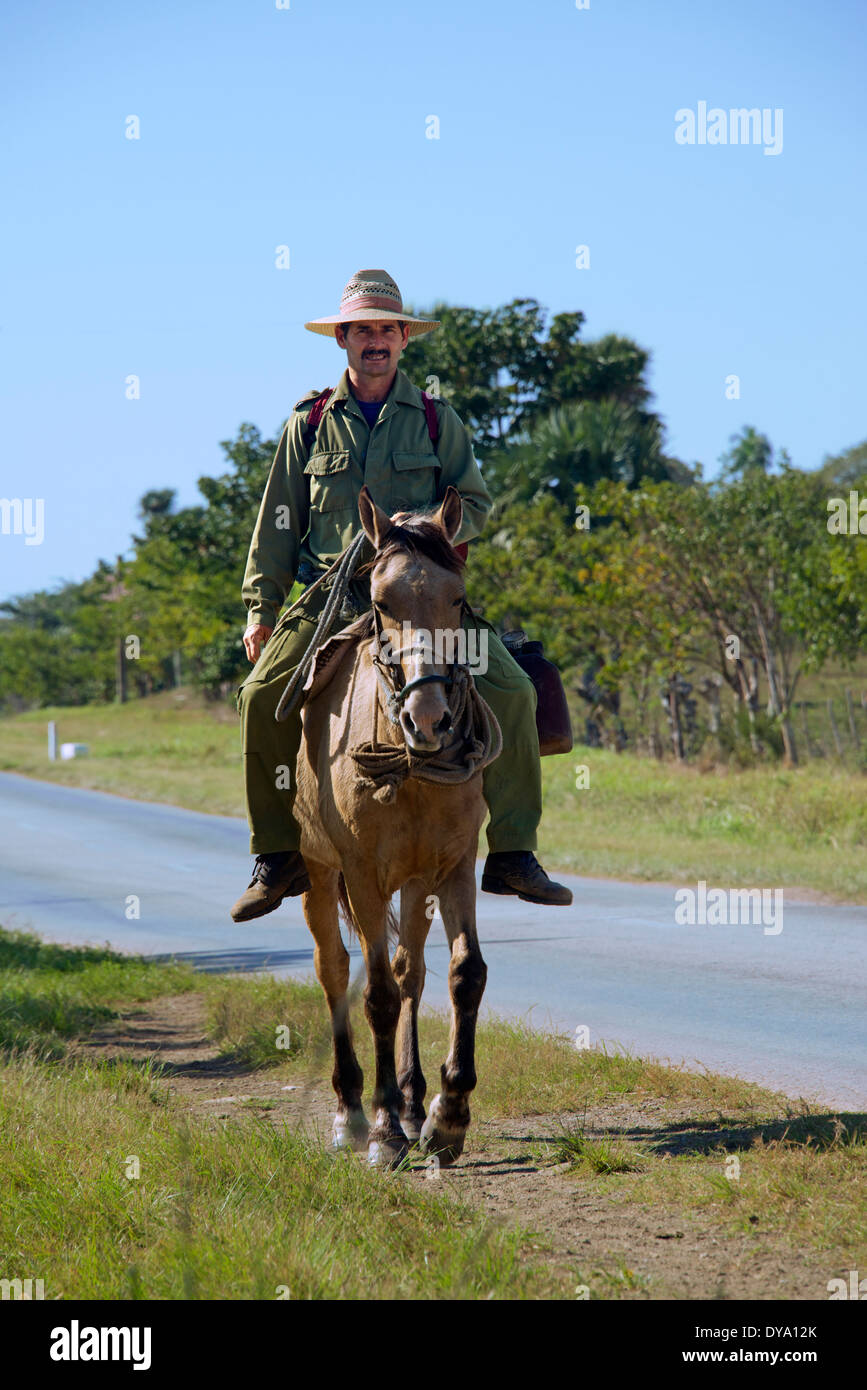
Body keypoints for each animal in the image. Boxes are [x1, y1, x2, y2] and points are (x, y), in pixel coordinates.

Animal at [293, 483, 500, 1167]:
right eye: (381, 602)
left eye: (456, 598)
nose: (429, 720)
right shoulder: (360, 873)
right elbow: (376, 993)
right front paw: (384, 1130)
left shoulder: (455, 865)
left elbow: (465, 975)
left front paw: (446, 1115)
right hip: (317, 872)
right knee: (334, 971)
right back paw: (353, 1112)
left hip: (415, 881)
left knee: (414, 967)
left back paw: (410, 1101)